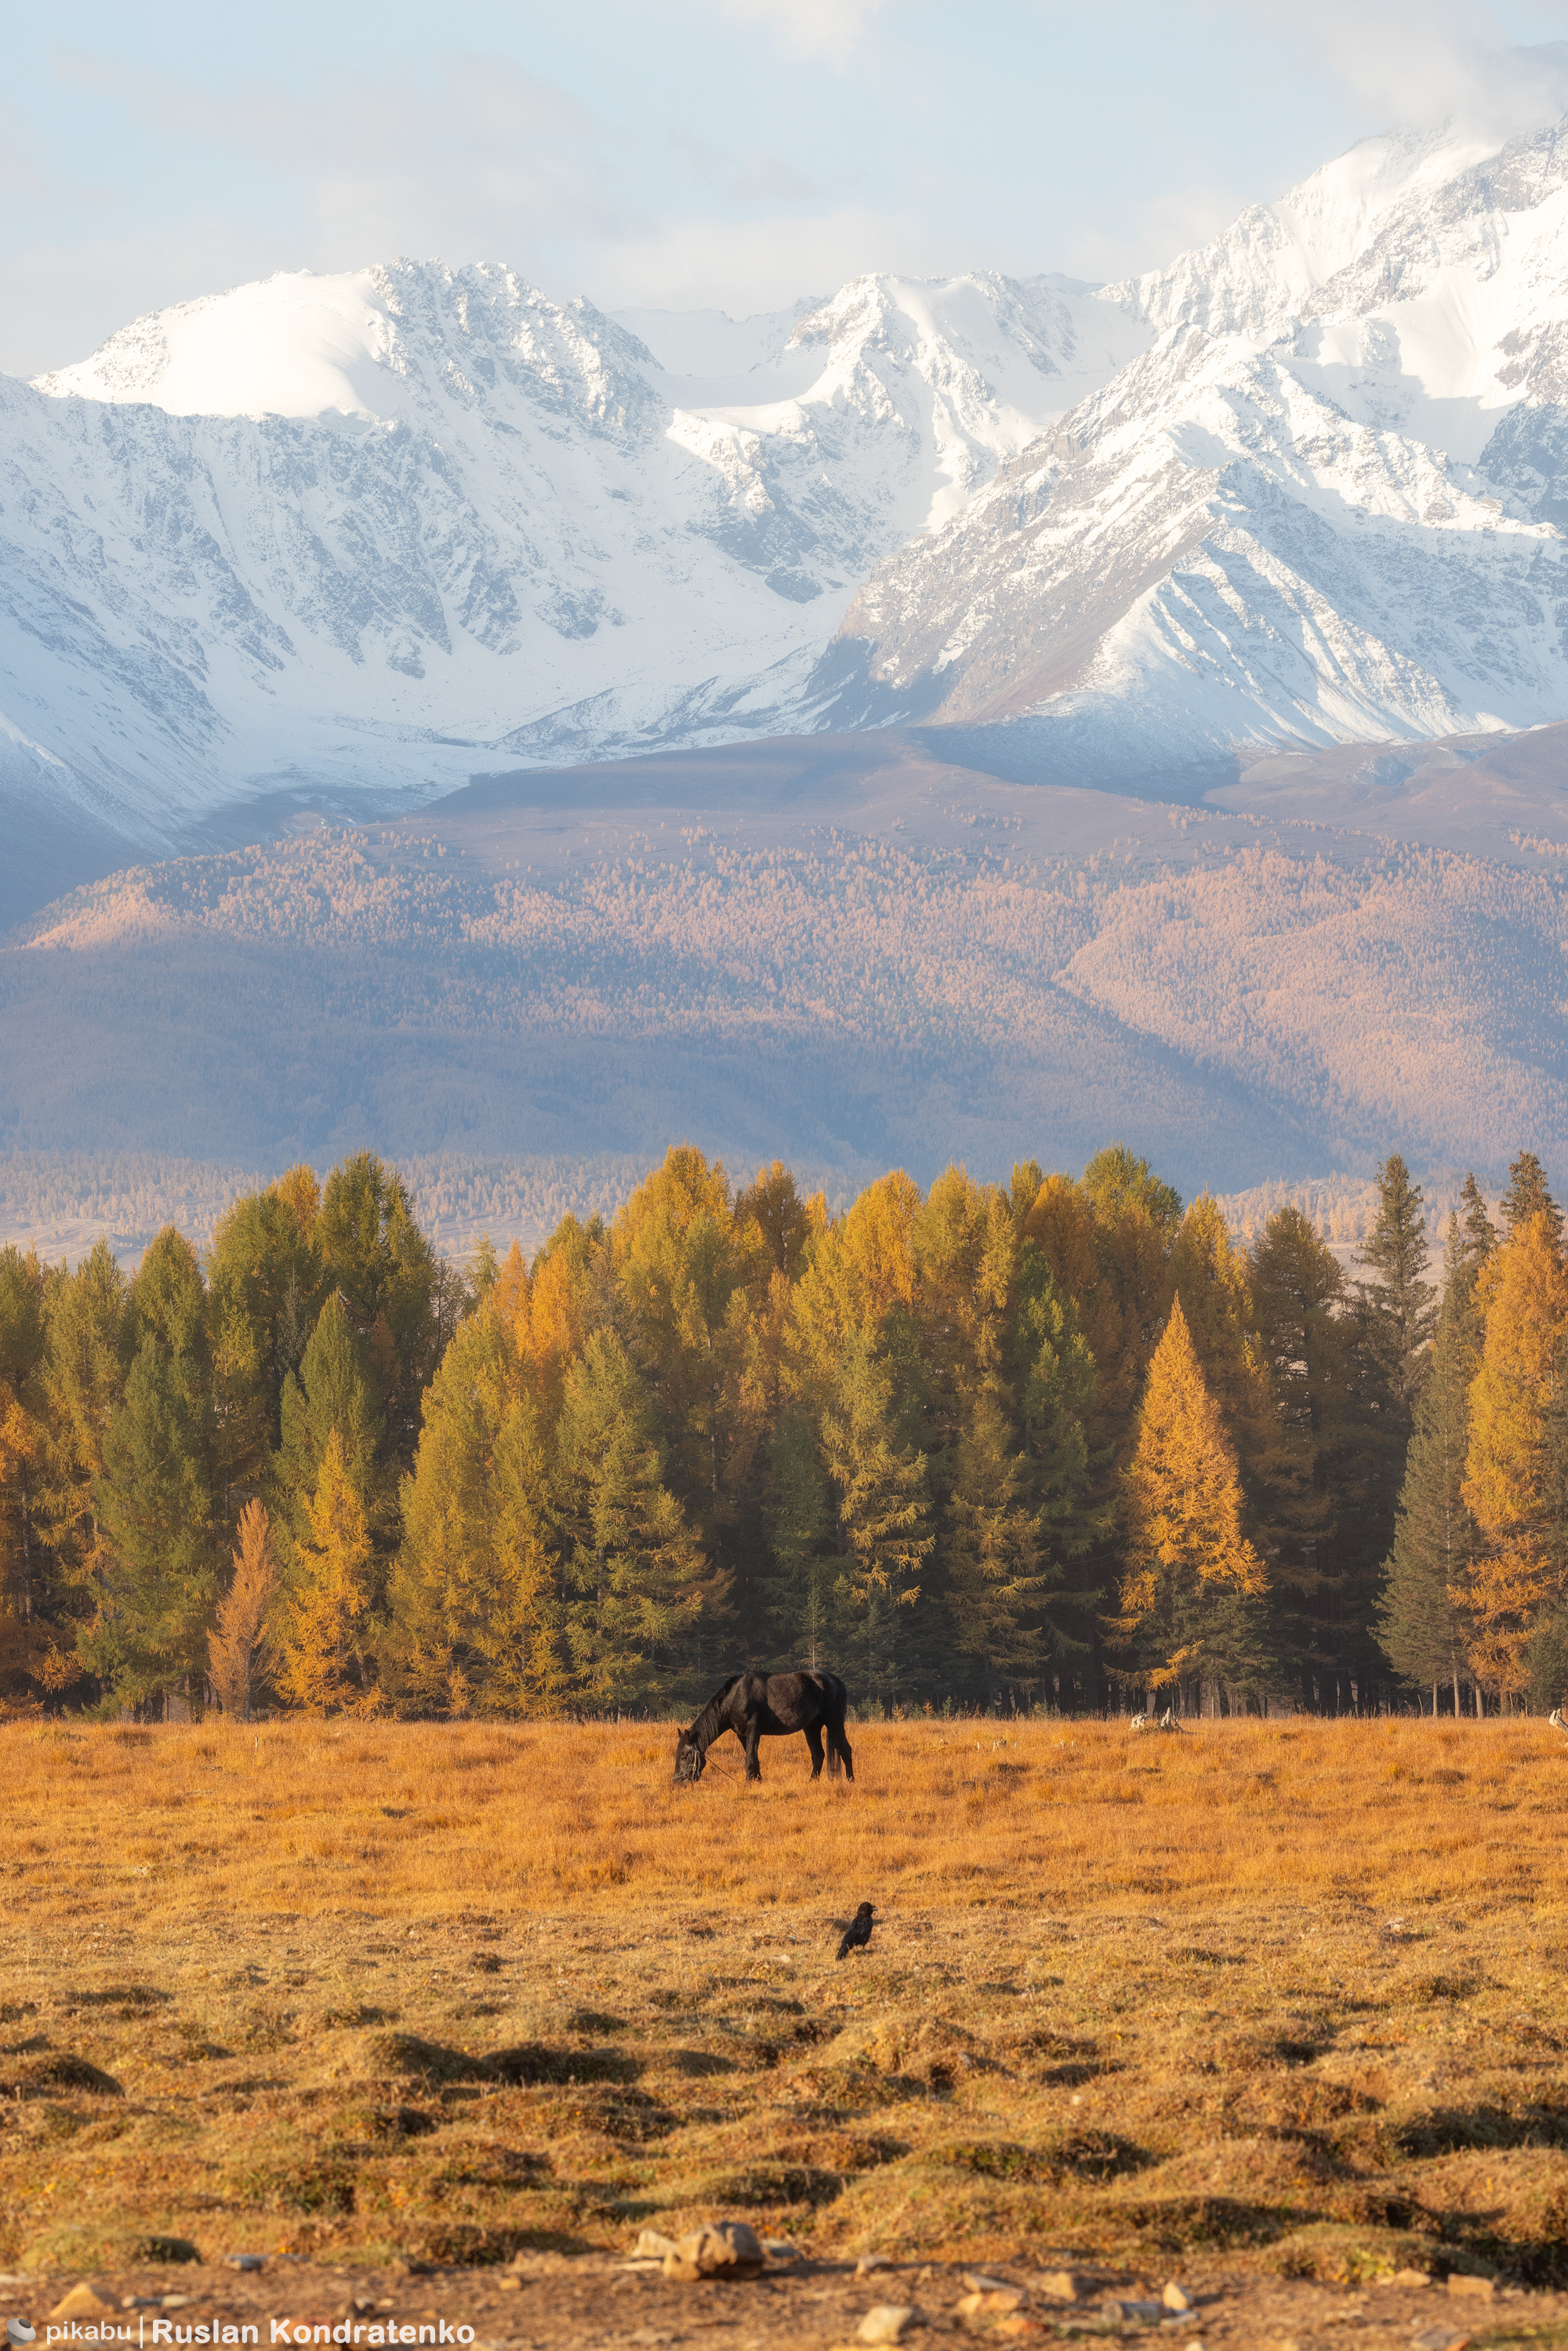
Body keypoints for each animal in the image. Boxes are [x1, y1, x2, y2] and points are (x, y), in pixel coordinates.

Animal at [667, 1664, 851, 1787]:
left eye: (684, 1756)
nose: (677, 1782)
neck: (736, 1696)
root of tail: (837, 1682)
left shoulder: (753, 1729)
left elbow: (749, 1758)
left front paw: (748, 1783)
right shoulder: (742, 1734)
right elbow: (753, 1757)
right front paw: (758, 1780)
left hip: (834, 1722)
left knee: (845, 1749)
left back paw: (851, 1781)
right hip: (812, 1727)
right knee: (818, 1754)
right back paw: (812, 1782)